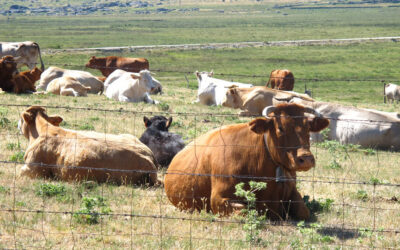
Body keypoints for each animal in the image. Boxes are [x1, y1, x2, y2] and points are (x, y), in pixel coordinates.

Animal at [164, 102, 330, 220]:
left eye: (308, 128)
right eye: (280, 128)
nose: (306, 158)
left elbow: (304, 211)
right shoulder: (218, 199)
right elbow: (246, 212)